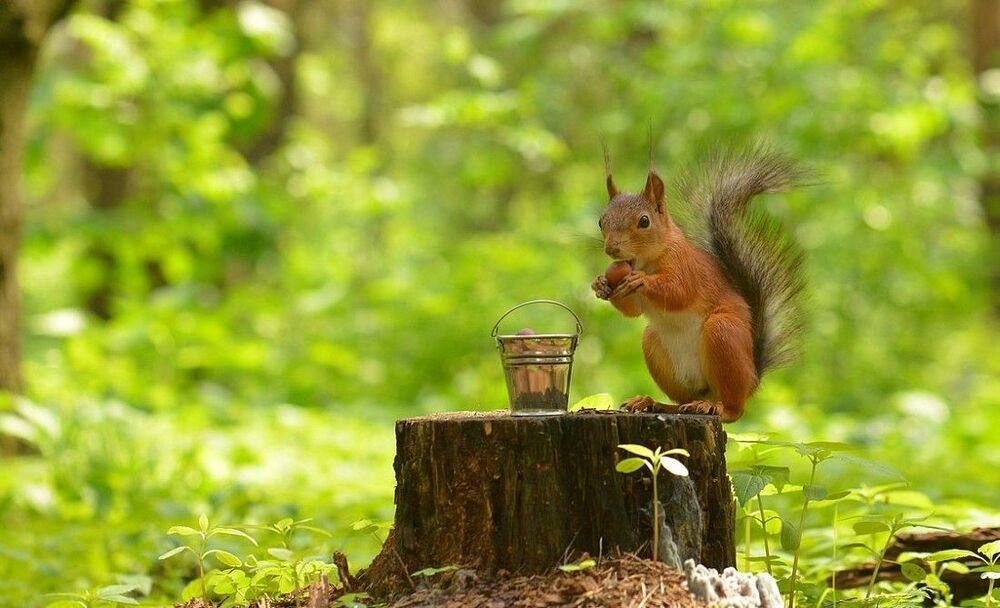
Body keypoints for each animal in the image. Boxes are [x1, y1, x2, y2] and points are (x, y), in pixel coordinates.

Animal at [591, 143, 805, 422]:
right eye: (601, 221)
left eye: (644, 221)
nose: (612, 249)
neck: (646, 261)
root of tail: (752, 379)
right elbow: (632, 310)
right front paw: (600, 285)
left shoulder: (686, 268)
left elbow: (678, 291)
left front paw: (641, 280)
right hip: (654, 346)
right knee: (683, 400)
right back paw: (653, 403)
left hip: (722, 333)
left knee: (734, 410)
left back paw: (715, 407)